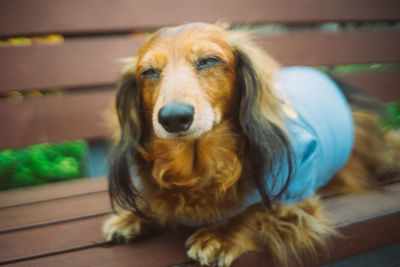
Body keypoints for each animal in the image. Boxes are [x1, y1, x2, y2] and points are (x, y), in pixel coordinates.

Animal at [101, 23, 398, 267]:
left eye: (208, 61)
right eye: (149, 72)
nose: (174, 118)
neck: (199, 166)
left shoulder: (298, 195)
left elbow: (258, 210)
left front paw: (222, 235)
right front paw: (132, 217)